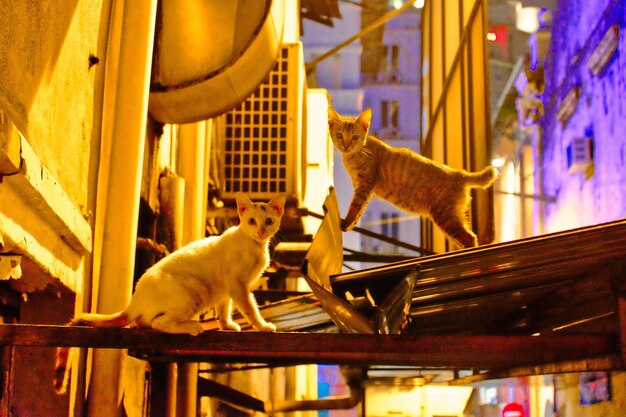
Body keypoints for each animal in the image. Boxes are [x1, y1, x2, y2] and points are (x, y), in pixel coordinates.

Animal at [54, 190, 284, 392]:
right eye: (252, 221)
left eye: (268, 221)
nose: (261, 231)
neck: (255, 245)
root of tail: (134, 300)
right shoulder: (237, 285)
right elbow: (250, 308)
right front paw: (263, 326)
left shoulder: (226, 288)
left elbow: (223, 309)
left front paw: (227, 325)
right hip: (192, 293)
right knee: (159, 323)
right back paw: (192, 326)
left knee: (146, 322)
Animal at [330, 106, 494, 247]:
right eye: (339, 135)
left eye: (355, 137)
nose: (345, 146)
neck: (359, 152)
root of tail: (459, 173)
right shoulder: (366, 191)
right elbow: (360, 211)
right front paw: (350, 224)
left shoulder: (364, 186)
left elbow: (355, 207)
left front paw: (346, 222)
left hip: (446, 216)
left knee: (469, 238)